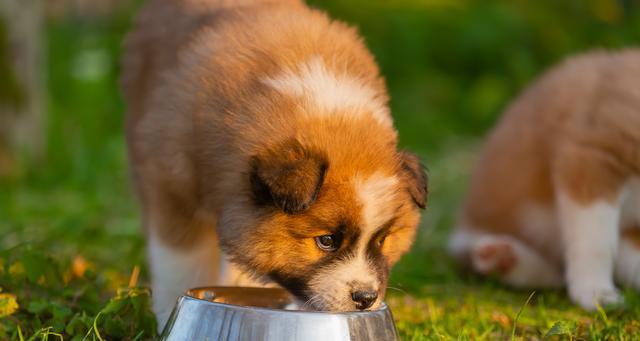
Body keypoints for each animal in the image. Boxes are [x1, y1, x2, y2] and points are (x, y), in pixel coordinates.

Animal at [122, 0, 428, 328]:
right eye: (327, 240)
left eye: (382, 240)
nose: (366, 298)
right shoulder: (173, 190)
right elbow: (180, 264)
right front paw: (168, 313)